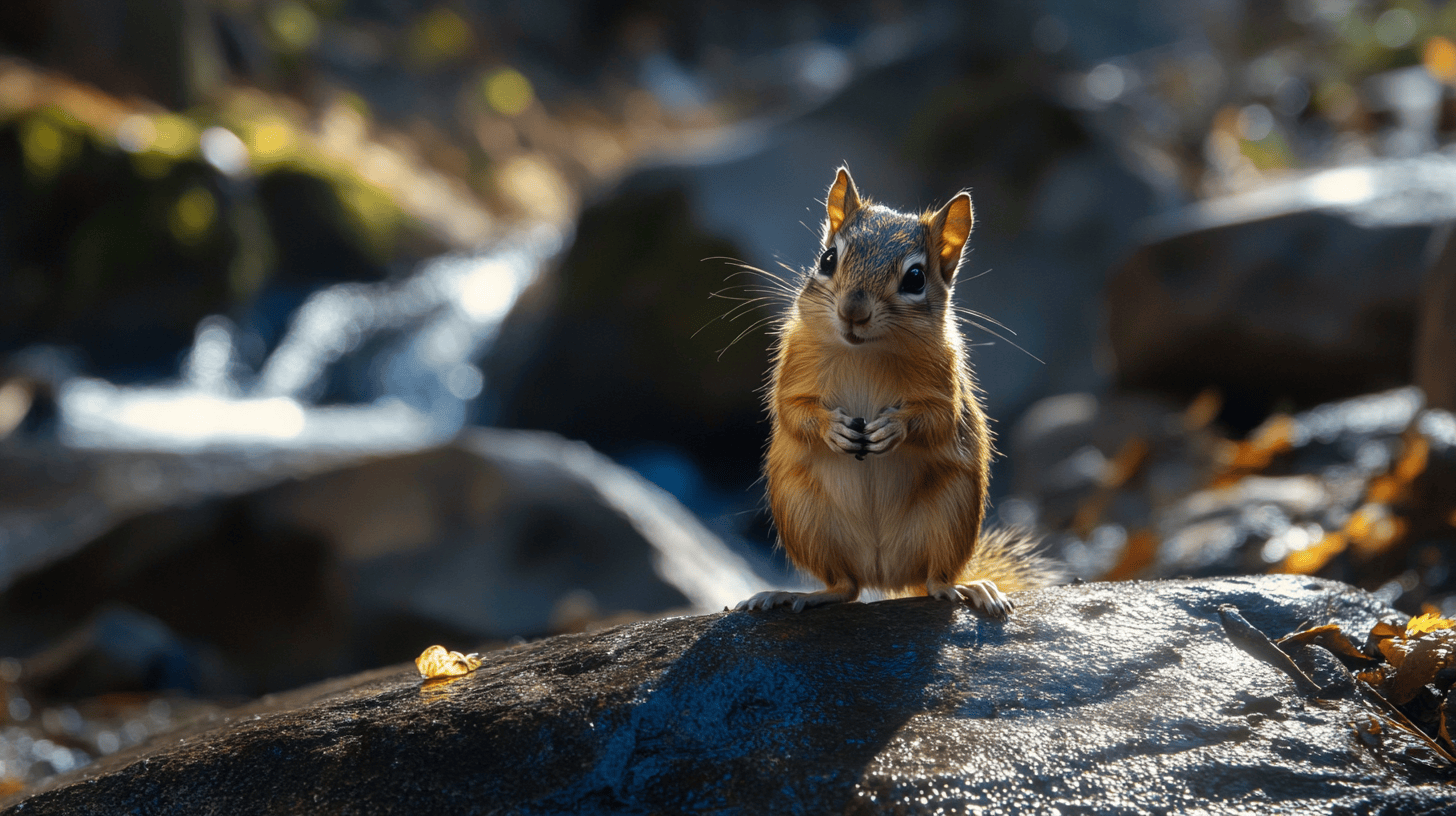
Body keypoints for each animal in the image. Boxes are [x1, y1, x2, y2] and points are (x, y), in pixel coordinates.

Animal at [736, 167, 1059, 617]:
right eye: (828, 259)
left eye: (916, 278)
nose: (852, 312)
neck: (866, 353)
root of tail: (885, 576)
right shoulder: (792, 369)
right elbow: (792, 410)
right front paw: (833, 429)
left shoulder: (946, 386)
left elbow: (939, 420)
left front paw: (893, 429)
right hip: (804, 515)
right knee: (845, 587)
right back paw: (791, 594)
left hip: (951, 513)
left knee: (935, 578)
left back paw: (970, 589)